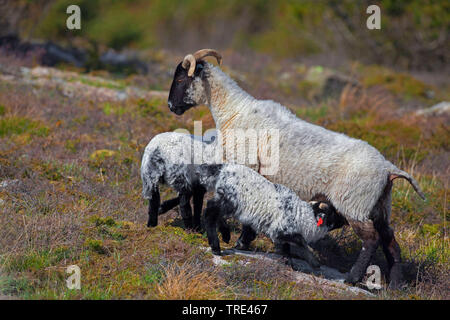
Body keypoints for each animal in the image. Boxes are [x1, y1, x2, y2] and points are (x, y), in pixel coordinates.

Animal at [167, 48, 428, 288]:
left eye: (180, 80)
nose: (171, 106)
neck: (234, 111)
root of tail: (389, 168)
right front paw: (244, 241)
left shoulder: (247, 167)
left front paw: (241, 242)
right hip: (380, 206)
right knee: (390, 242)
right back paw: (396, 285)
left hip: (354, 203)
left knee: (372, 240)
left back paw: (352, 278)